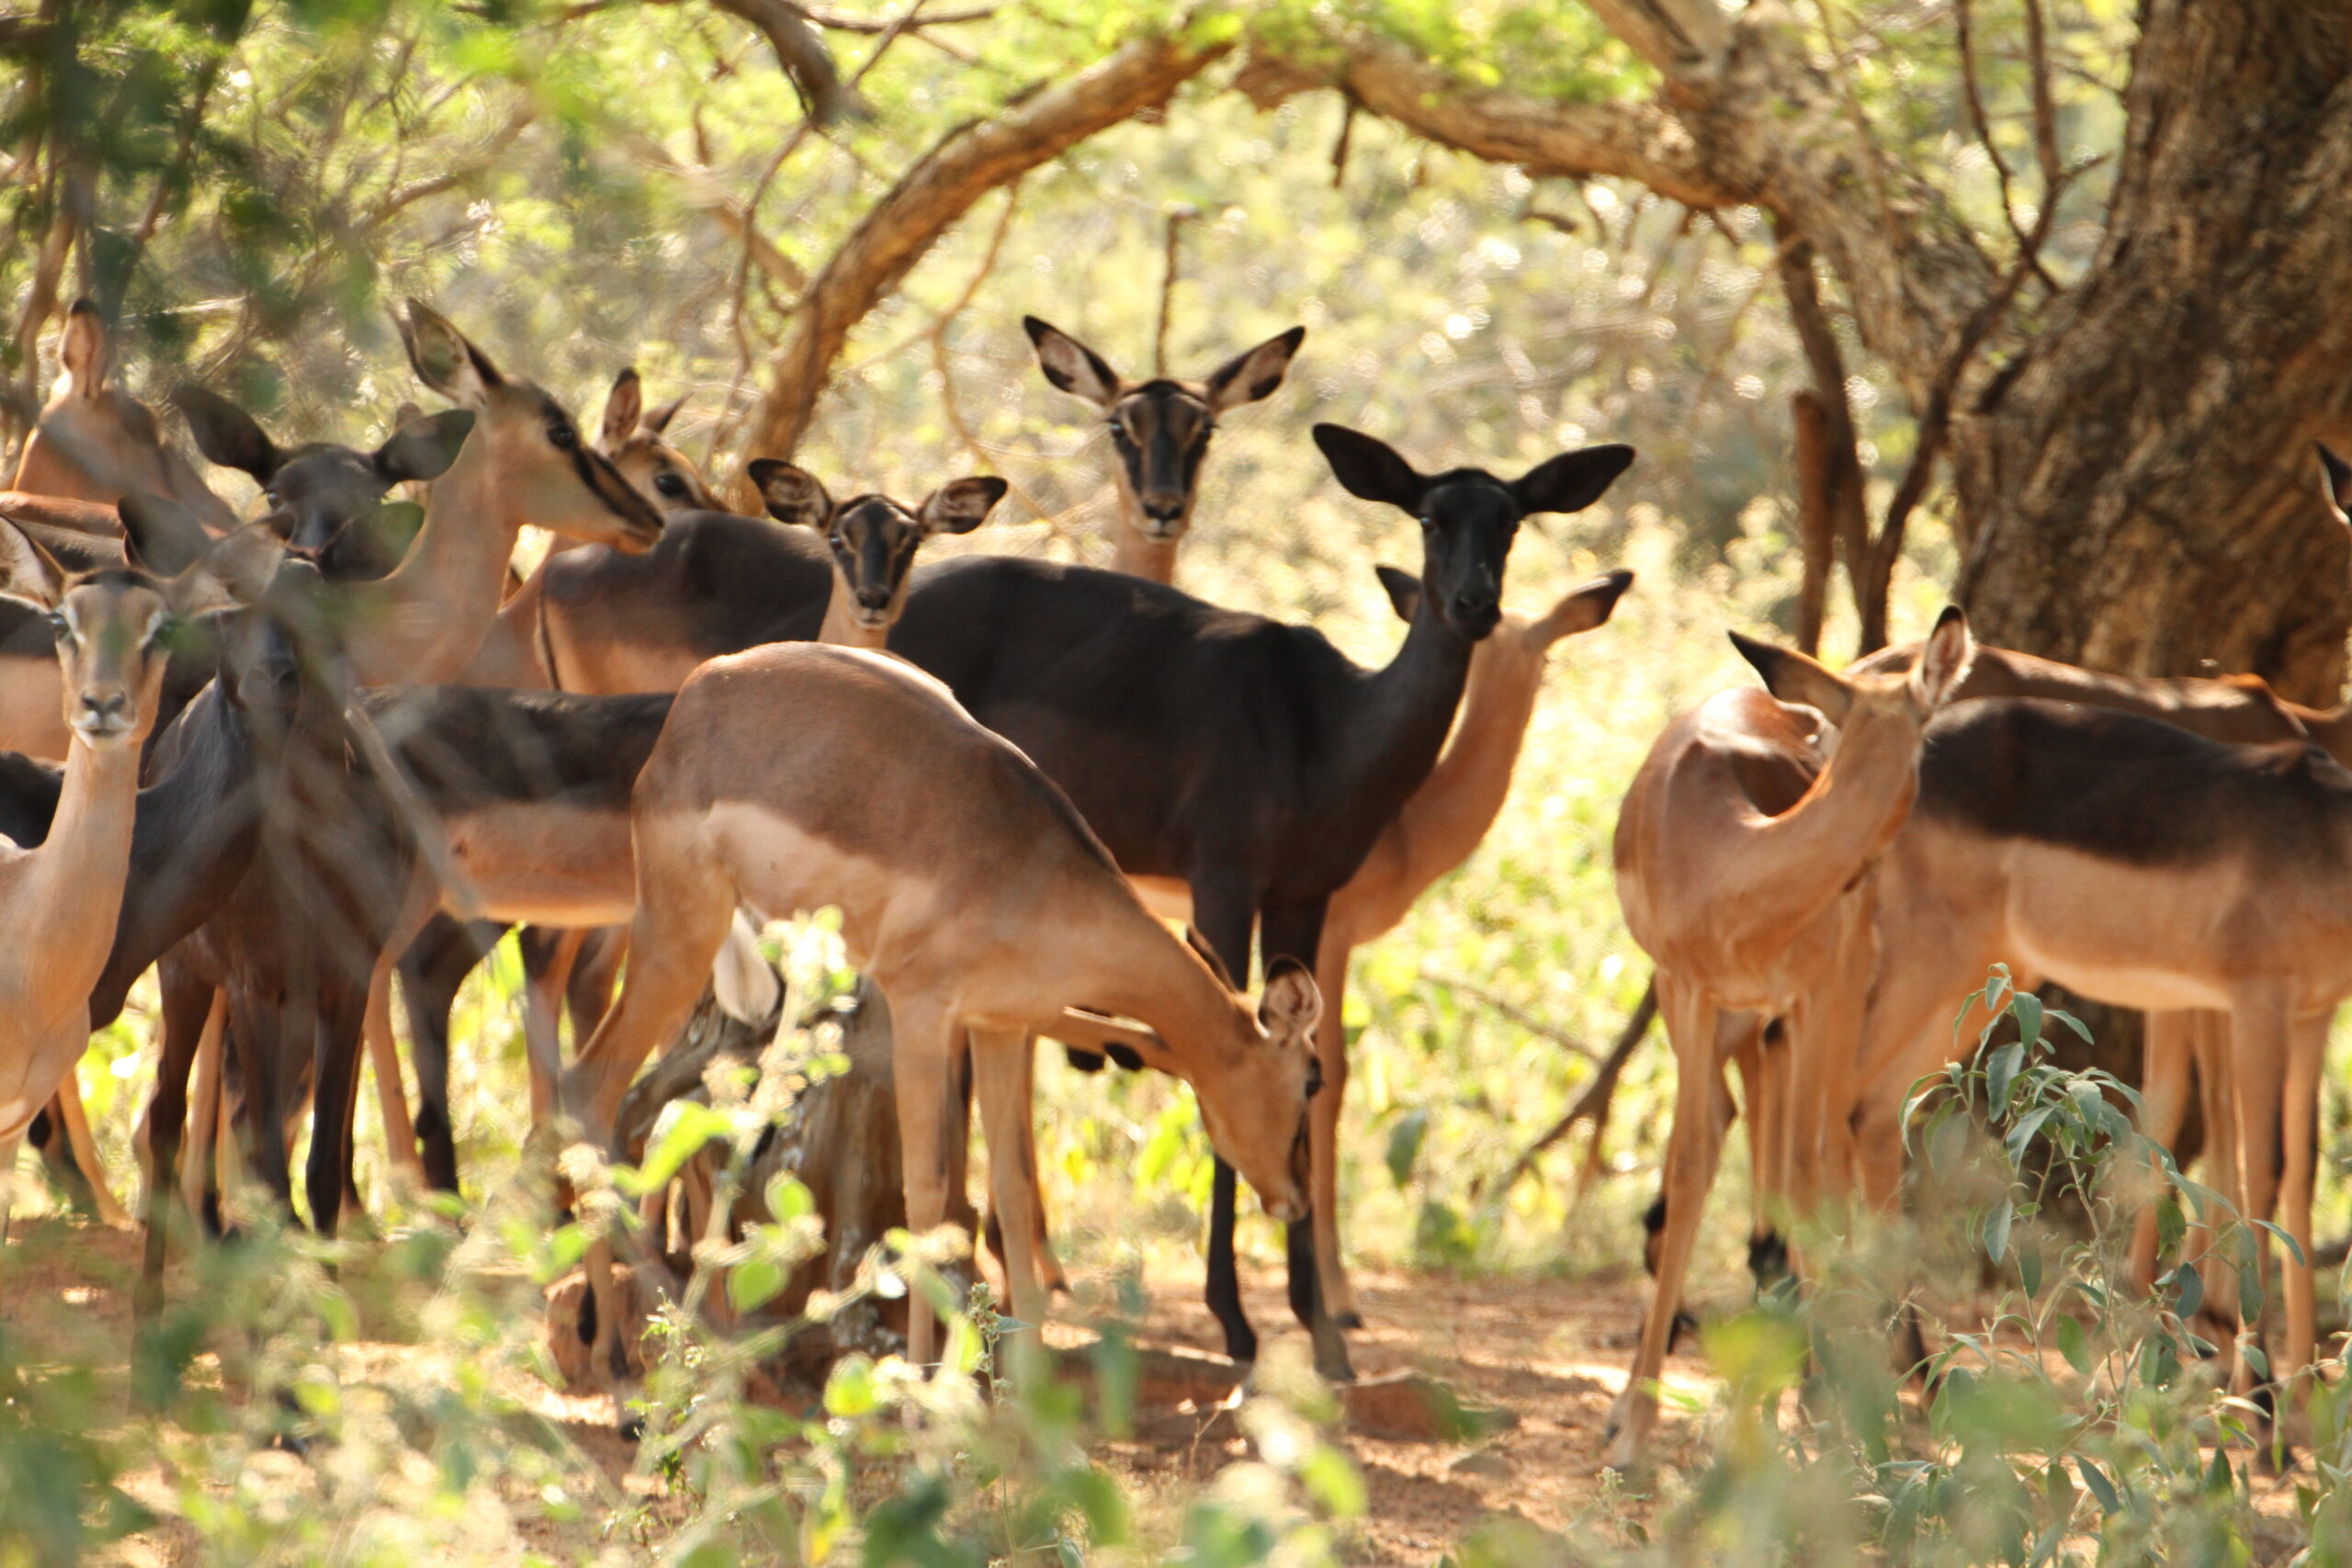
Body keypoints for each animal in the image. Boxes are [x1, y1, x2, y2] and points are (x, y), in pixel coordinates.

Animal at [556, 641, 1323, 1380]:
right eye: (1310, 1079)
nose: (1295, 1199)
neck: (1029, 873)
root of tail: (700, 693)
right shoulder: (923, 1010)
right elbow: (927, 1196)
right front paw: (920, 1389)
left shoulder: (1000, 1025)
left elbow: (1011, 1192)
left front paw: (1024, 1392)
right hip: (678, 935)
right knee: (590, 1090)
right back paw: (634, 1354)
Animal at [1605, 609, 1974, 1471]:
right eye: (1927, 741)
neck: (1729, 864)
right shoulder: (1691, 991)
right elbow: (1693, 1163)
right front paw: (1632, 1430)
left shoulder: (1816, 992)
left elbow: (1808, 1177)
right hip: (1737, 1024)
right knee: (1743, 1135)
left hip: (1798, 1015)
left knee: (1818, 1159)